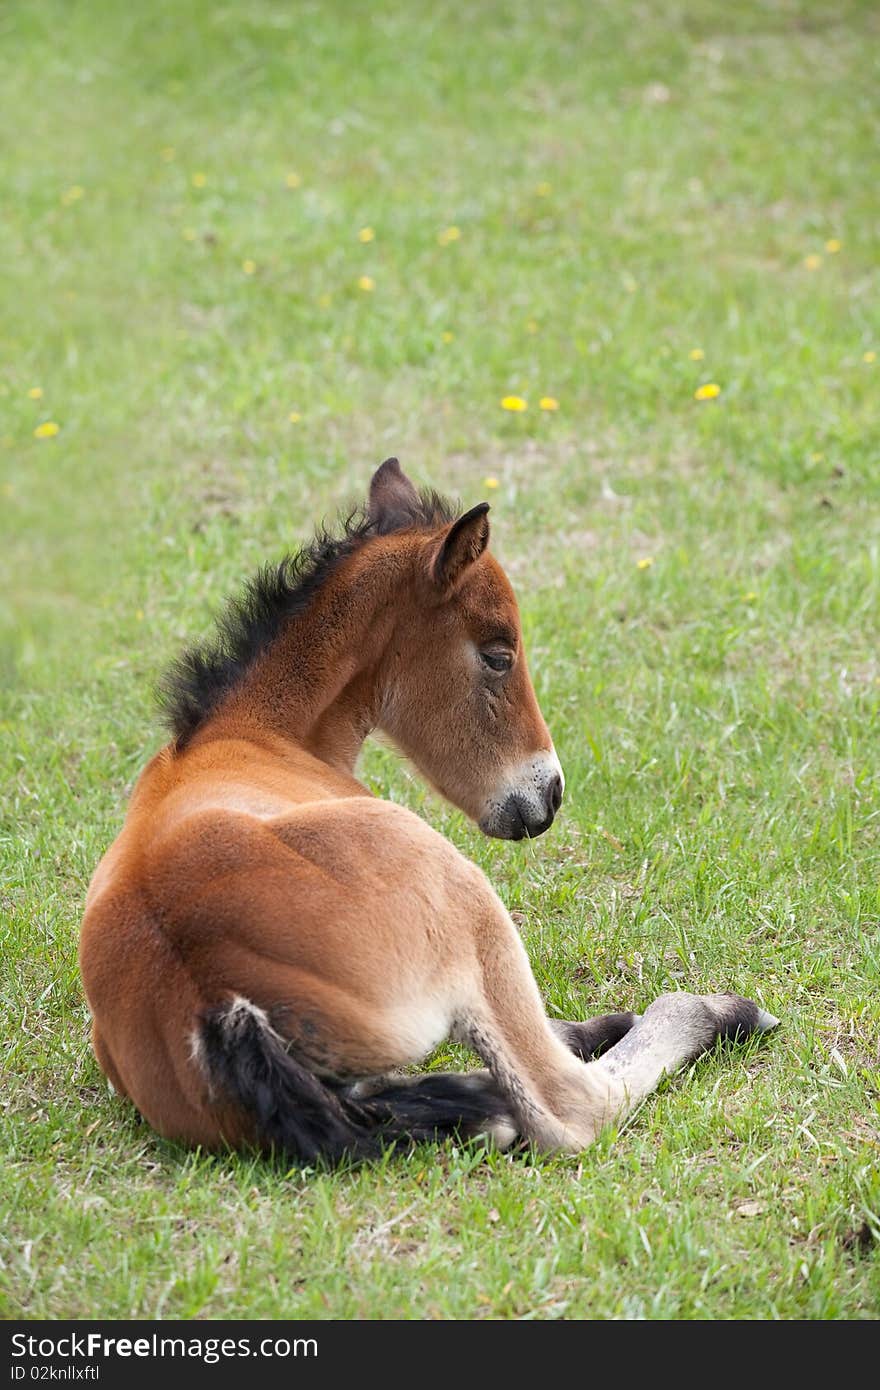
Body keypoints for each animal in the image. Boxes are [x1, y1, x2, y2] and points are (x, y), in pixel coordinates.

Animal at [77, 458, 772, 1162]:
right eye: (498, 654)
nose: (549, 793)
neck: (255, 733)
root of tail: (210, 996)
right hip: (465, 896)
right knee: (565, 1104)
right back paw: (720, 1013)